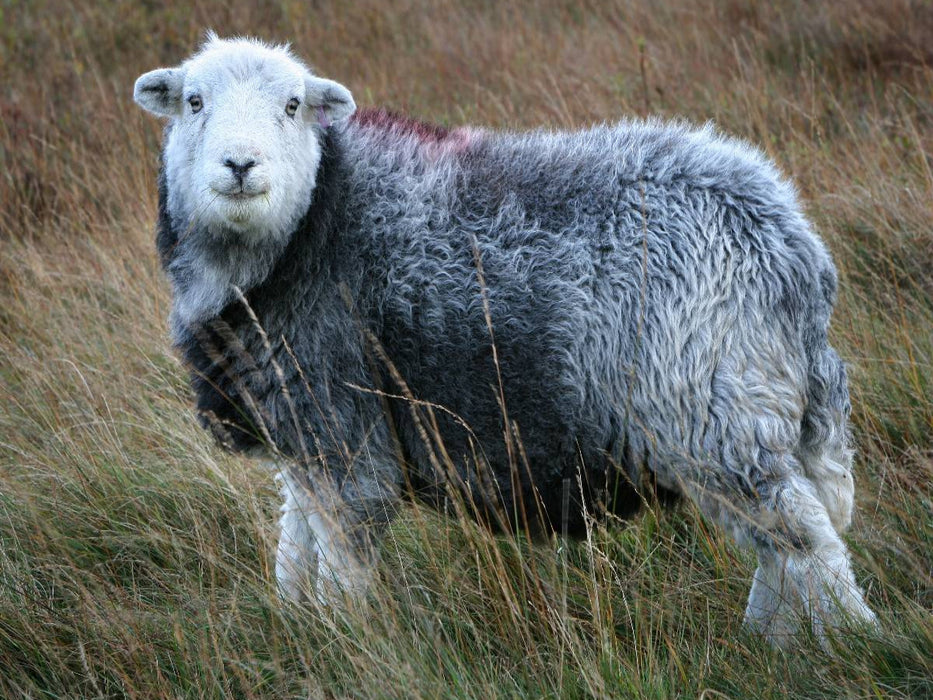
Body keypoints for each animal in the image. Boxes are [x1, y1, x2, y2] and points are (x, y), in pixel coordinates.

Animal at [134, 33, 877, 645]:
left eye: (292, 106)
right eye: (193, 101)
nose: (240, 165)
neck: (308, 228)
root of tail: (789, 240)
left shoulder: (343, 430)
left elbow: (341, 558)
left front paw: (344, 644)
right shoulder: (297, 422)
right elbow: (295, 541)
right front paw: (295, 629)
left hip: (712, 403)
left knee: (804, 537)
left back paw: (853, 643)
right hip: (744, 404)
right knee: (784, 545)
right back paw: (768, 641)